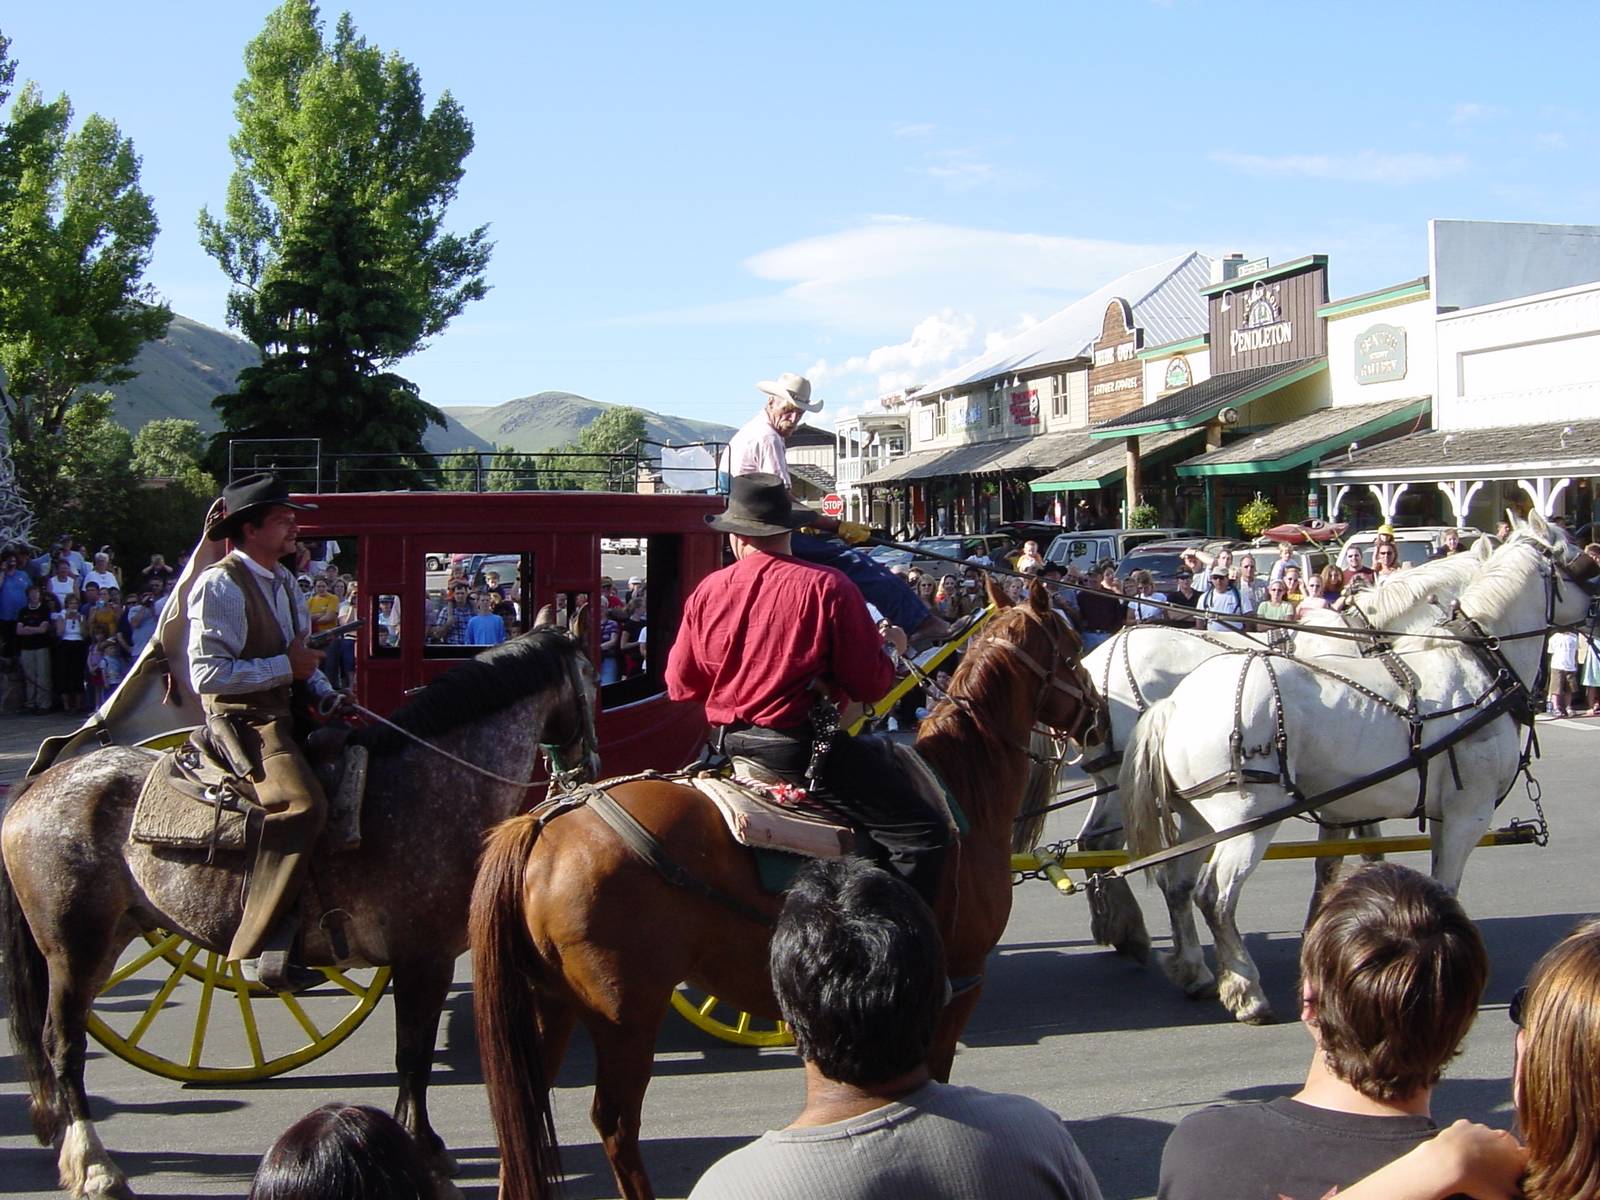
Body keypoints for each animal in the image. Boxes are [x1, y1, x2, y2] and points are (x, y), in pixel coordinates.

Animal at [0, 630, 601, 1200]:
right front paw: (424, 1151)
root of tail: (40, 782)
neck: (432, 781)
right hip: (75, 945)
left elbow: (417, 1053)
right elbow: (414, 1054)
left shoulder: (425, 960)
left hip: (113, 932)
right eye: (594, 683)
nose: (588, 769)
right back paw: (95, 1166)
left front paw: (423, 1145)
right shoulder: (423, 958)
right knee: (63, 1043)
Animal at [464, 582, 1100, 1200]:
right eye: (1071, 647)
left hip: (548, 1004)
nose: (1096, 717)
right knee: (616, 1122)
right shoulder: (960, 984)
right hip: (625, 1015)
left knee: (522, 1118)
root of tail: (546, 822)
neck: (963, 788)